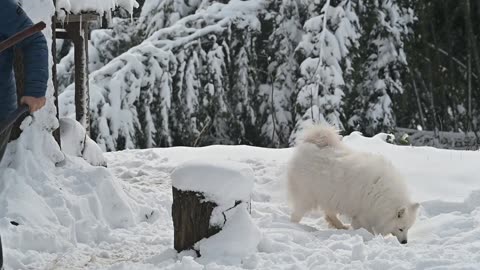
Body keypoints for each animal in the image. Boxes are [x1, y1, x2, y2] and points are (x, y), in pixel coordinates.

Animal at [286, 125, 418, 244]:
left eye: (407, 229)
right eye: (401, 229)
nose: (405, 242)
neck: (382, 195)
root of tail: (309, 145)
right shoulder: (363, 215)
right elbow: (368, 230)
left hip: (329, 196)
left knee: (329, 214)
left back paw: (341, 226)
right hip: (307, 198)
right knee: (296, 216)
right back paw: (292, 227)